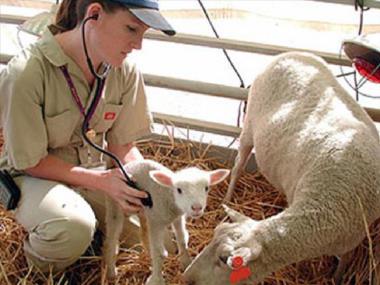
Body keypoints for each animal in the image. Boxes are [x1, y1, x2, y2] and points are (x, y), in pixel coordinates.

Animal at [101, 159, 229, 282]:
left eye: (206, 188)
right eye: (179, 190)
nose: (197, 208)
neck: (168, 196)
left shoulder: (177, 217)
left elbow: (182, 239)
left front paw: (186, 263)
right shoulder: (157, 222)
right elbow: (160, 253)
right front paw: (156, 279)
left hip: (144, 211)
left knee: (143, 234)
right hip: (115, 203)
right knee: (111, 239)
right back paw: (111, 273)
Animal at [183, 51, 380, 284]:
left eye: (224, 259)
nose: (186, 277)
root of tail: (289, 54)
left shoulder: (352, 239)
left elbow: (344, 260)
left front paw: (337, 277)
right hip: (249, 125)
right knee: (238, 166)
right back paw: (227, 198)